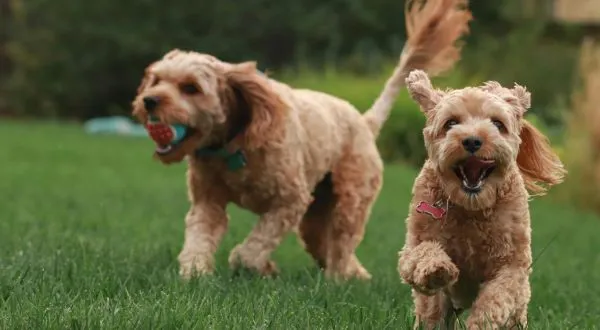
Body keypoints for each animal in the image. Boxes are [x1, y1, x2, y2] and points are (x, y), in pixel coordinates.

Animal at [131, 0, 474, 280]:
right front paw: (195, 272)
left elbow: (255, 244)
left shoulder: (290, 200)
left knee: (342, 241)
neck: (233, 147)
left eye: (191, 88)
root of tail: (364, 122)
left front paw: (251, 263)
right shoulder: (208, 201)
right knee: (323, 241)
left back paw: (339, 278)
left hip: (351, 199)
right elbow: (199, 236)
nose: (148, 101)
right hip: (317, 211)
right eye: (157, 79)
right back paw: (353, 274)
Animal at [398, 69, 568, 328]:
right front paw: (438, 268)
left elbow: (496, 298)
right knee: (432, 314)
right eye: (451, 123)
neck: (471, 208)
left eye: (497, 124)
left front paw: (480, 322)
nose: (472, 140)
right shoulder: (414, 243)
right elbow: (422, 253)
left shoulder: (512, 266)